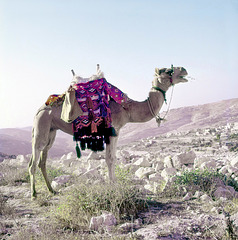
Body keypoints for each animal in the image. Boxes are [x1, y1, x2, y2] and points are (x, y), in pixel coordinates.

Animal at [28, 65, 188, 199]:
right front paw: (113, 185)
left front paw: (114, 182)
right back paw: (34, 194)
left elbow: (112, 158)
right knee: (34, 161)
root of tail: (39, 109)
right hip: (41, 125)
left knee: (43, 160)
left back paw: (52, 190)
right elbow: (110, 159)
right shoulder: (112, 131)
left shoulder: (116, 132)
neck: (127, 109)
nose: (184, 70)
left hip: (51, 131)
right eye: (168, 71)